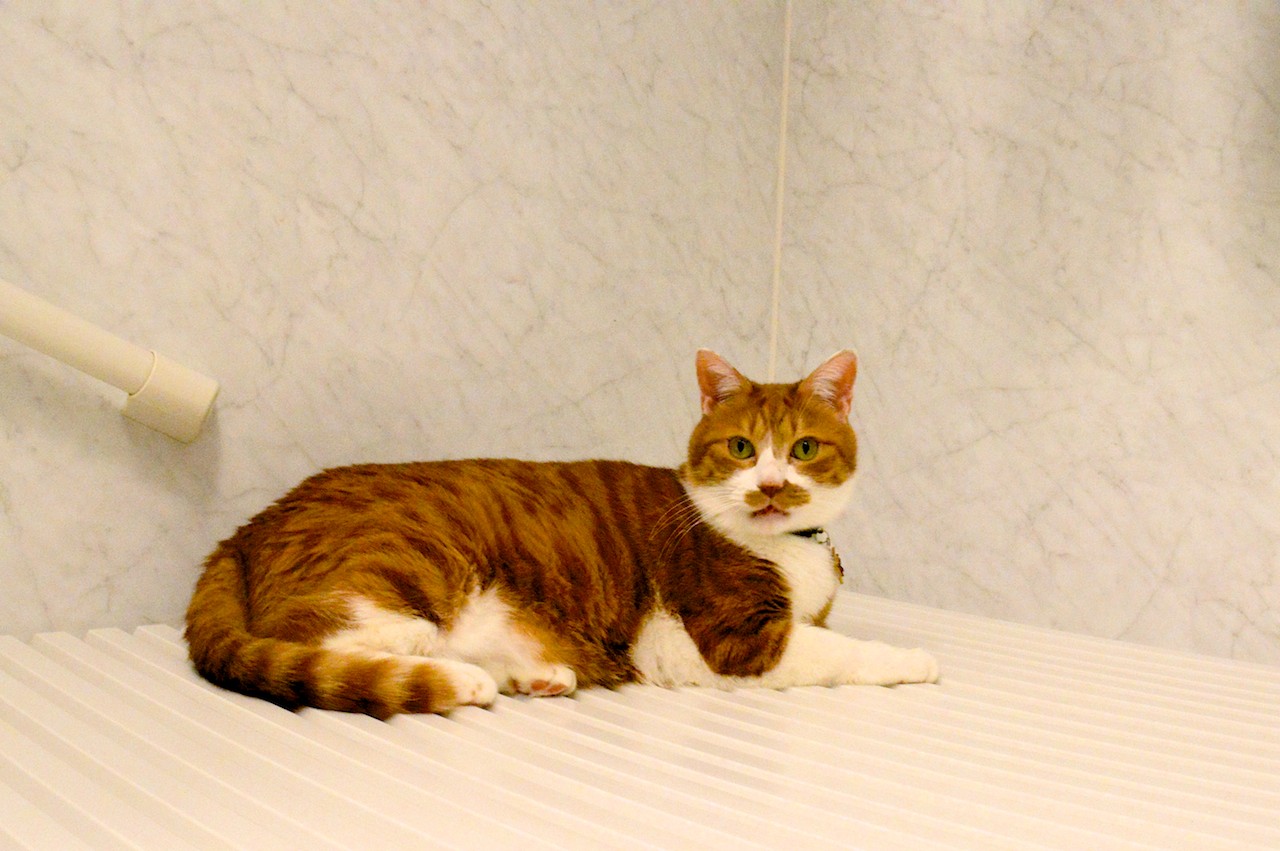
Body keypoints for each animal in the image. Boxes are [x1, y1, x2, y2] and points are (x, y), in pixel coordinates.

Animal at [185, 349, 938, 718]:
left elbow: (830, 632)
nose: (774, 486)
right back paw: (460, 678)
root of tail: (246, 528)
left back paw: (533, 676)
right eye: (743, 449)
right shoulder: (734, 642)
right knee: (327, 638)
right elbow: (843, 651)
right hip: (409, 568)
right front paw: (914, 658)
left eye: (804, 449)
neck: (790, 548)